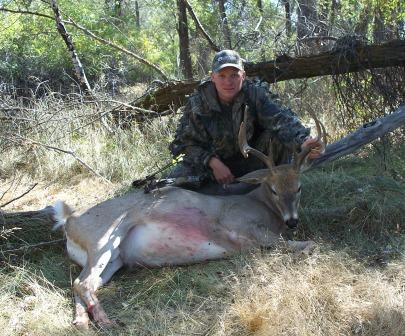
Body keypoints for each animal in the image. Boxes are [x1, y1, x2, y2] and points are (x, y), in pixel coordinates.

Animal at [52, 109, 326, 328]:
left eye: (299, 187)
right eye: (273, 189)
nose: (292, 221)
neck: (261, 206)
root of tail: (69, 221)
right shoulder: (241, 228)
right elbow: (304, 244)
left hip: (114, 259)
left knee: (81, 283)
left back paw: (81, 321)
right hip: (102, 240)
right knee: (83, 282)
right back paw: (105, 320)